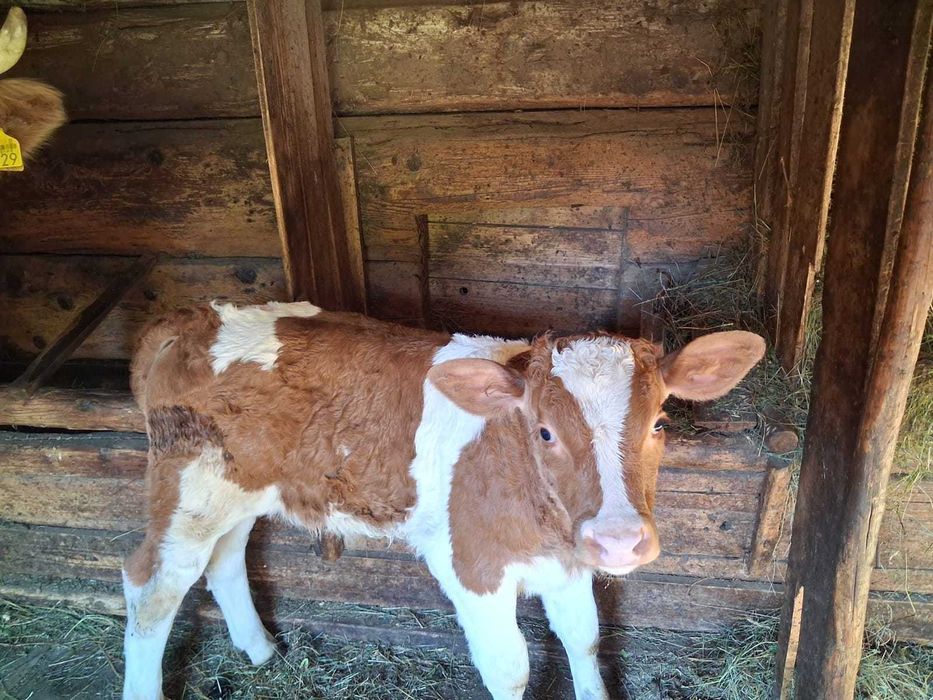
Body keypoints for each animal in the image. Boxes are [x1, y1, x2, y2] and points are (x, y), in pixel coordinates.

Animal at [122, 301, 765, 700]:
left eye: (659, 422)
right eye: (545, 431)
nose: (620, 540)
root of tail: (188, 316)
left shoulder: (569, 560)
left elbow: (583, 637)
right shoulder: (471, 567)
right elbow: (509, 670)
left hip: (239, 490)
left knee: (224, 560)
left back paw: (260, 651)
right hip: (189, 486)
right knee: (150, 586)